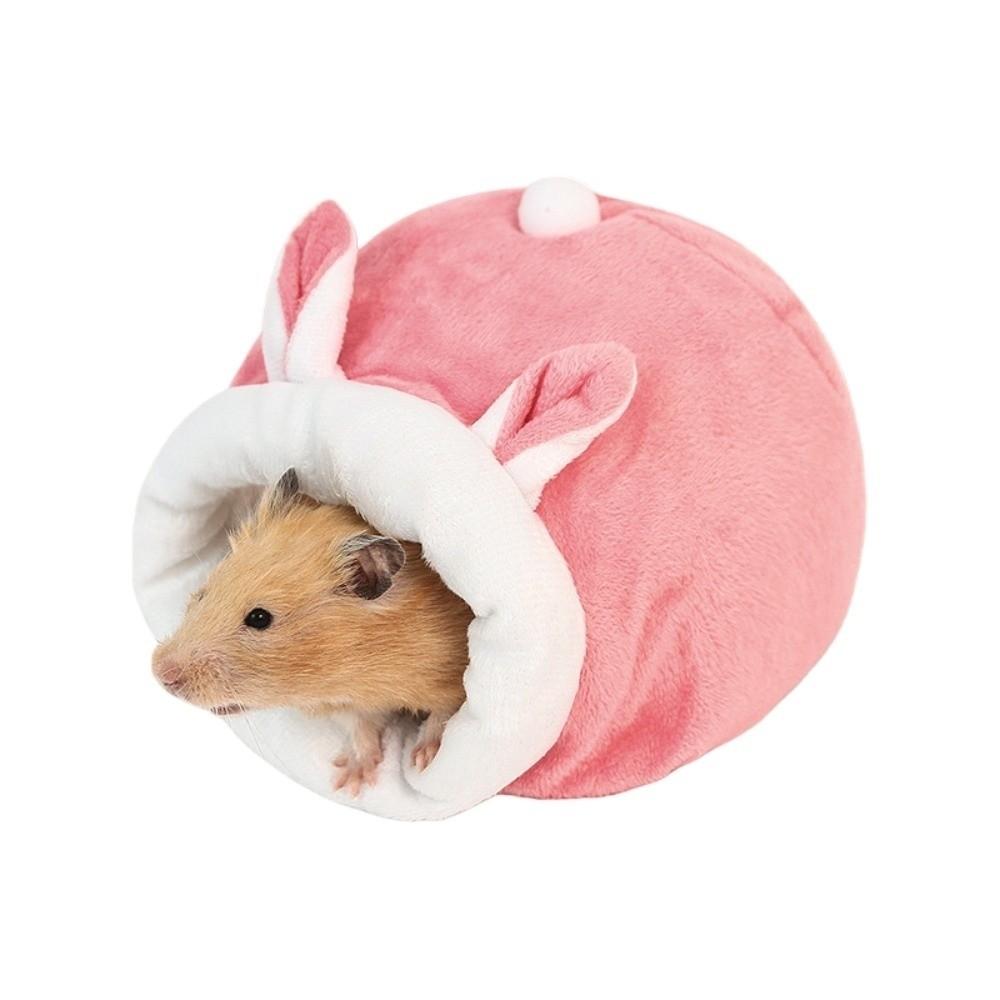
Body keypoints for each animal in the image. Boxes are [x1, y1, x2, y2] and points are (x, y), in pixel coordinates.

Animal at [151, 469, 473, 796]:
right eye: (203, 593)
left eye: (259, 618)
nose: (160, 673)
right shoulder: (352, 703)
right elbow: (361, 726)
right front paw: (349, 782)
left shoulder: (449, 675)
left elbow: (444, 713)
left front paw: (424, 759)